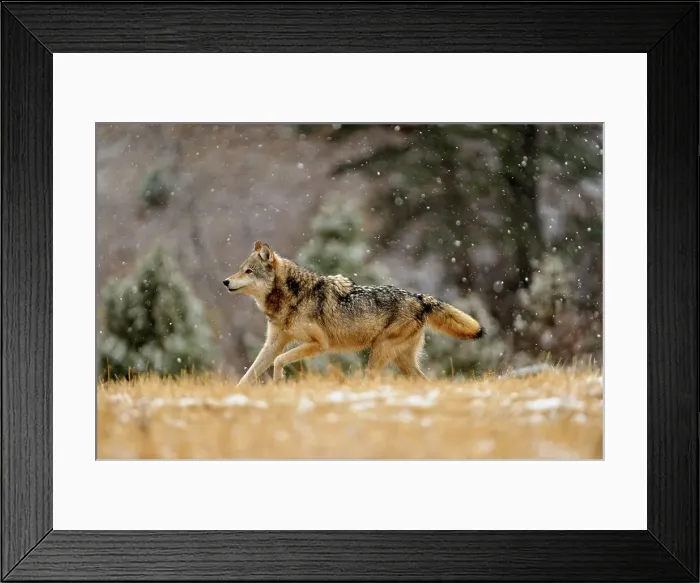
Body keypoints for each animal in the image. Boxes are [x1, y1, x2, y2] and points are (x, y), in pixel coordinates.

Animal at [224, 241, 483, 386]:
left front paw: (279, 382)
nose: (225, 281)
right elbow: (249, 374)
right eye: (239, 269)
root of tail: (420, 298)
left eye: (248, 271)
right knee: (425, 382)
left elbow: (279, 361)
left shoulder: (320, 344)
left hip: (379, 353)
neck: (291, 297)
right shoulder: (273, 343)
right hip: (401, 361)